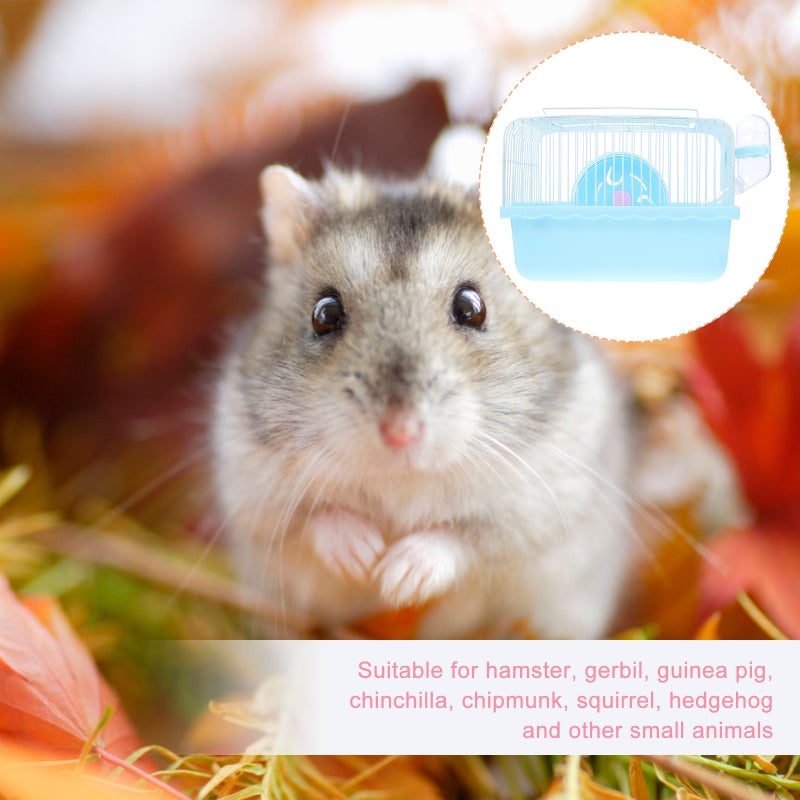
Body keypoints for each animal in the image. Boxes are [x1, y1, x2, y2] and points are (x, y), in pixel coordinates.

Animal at [212, 165, 638, 639]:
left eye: (472, 307)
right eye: (324, 313)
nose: (400, 432)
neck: (402, 480)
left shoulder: (541, 508)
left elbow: (463, 539)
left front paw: (396, 576)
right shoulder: (254, 496)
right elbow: (314, 521)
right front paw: (365, 558)